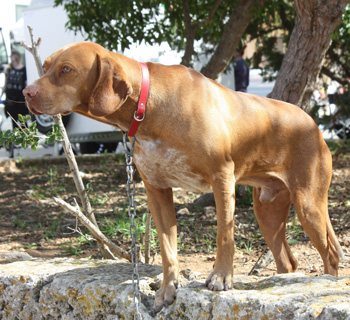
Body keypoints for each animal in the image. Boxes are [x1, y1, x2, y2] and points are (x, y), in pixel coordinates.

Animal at [22, 41, 344, 312]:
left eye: (66, 70)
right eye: (45, 66)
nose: (26, 93)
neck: (149, 106)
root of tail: (312, 123)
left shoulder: (221, 178)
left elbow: (224, 234)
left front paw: (221, 278)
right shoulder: (157, 190)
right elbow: (167, 248)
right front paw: (167, 289)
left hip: (308, 204)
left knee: (330, 255)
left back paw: (325, 283)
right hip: (267, 210)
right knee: (287, 261)